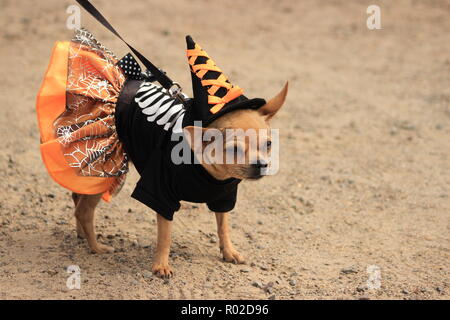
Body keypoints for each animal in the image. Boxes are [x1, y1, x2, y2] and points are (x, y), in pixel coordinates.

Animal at [70, 82, 288, 278]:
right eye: (234, 149)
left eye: (268, 144)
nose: (261, 164)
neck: (206, 171)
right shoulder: (161, 196)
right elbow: (165, 236)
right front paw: (161, 265)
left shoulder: (224, 198)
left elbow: (223, 227)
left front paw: (228, 251)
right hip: (106, 171)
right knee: (84, 211)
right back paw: (96, 247)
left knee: (77, 199)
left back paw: (81, 234)